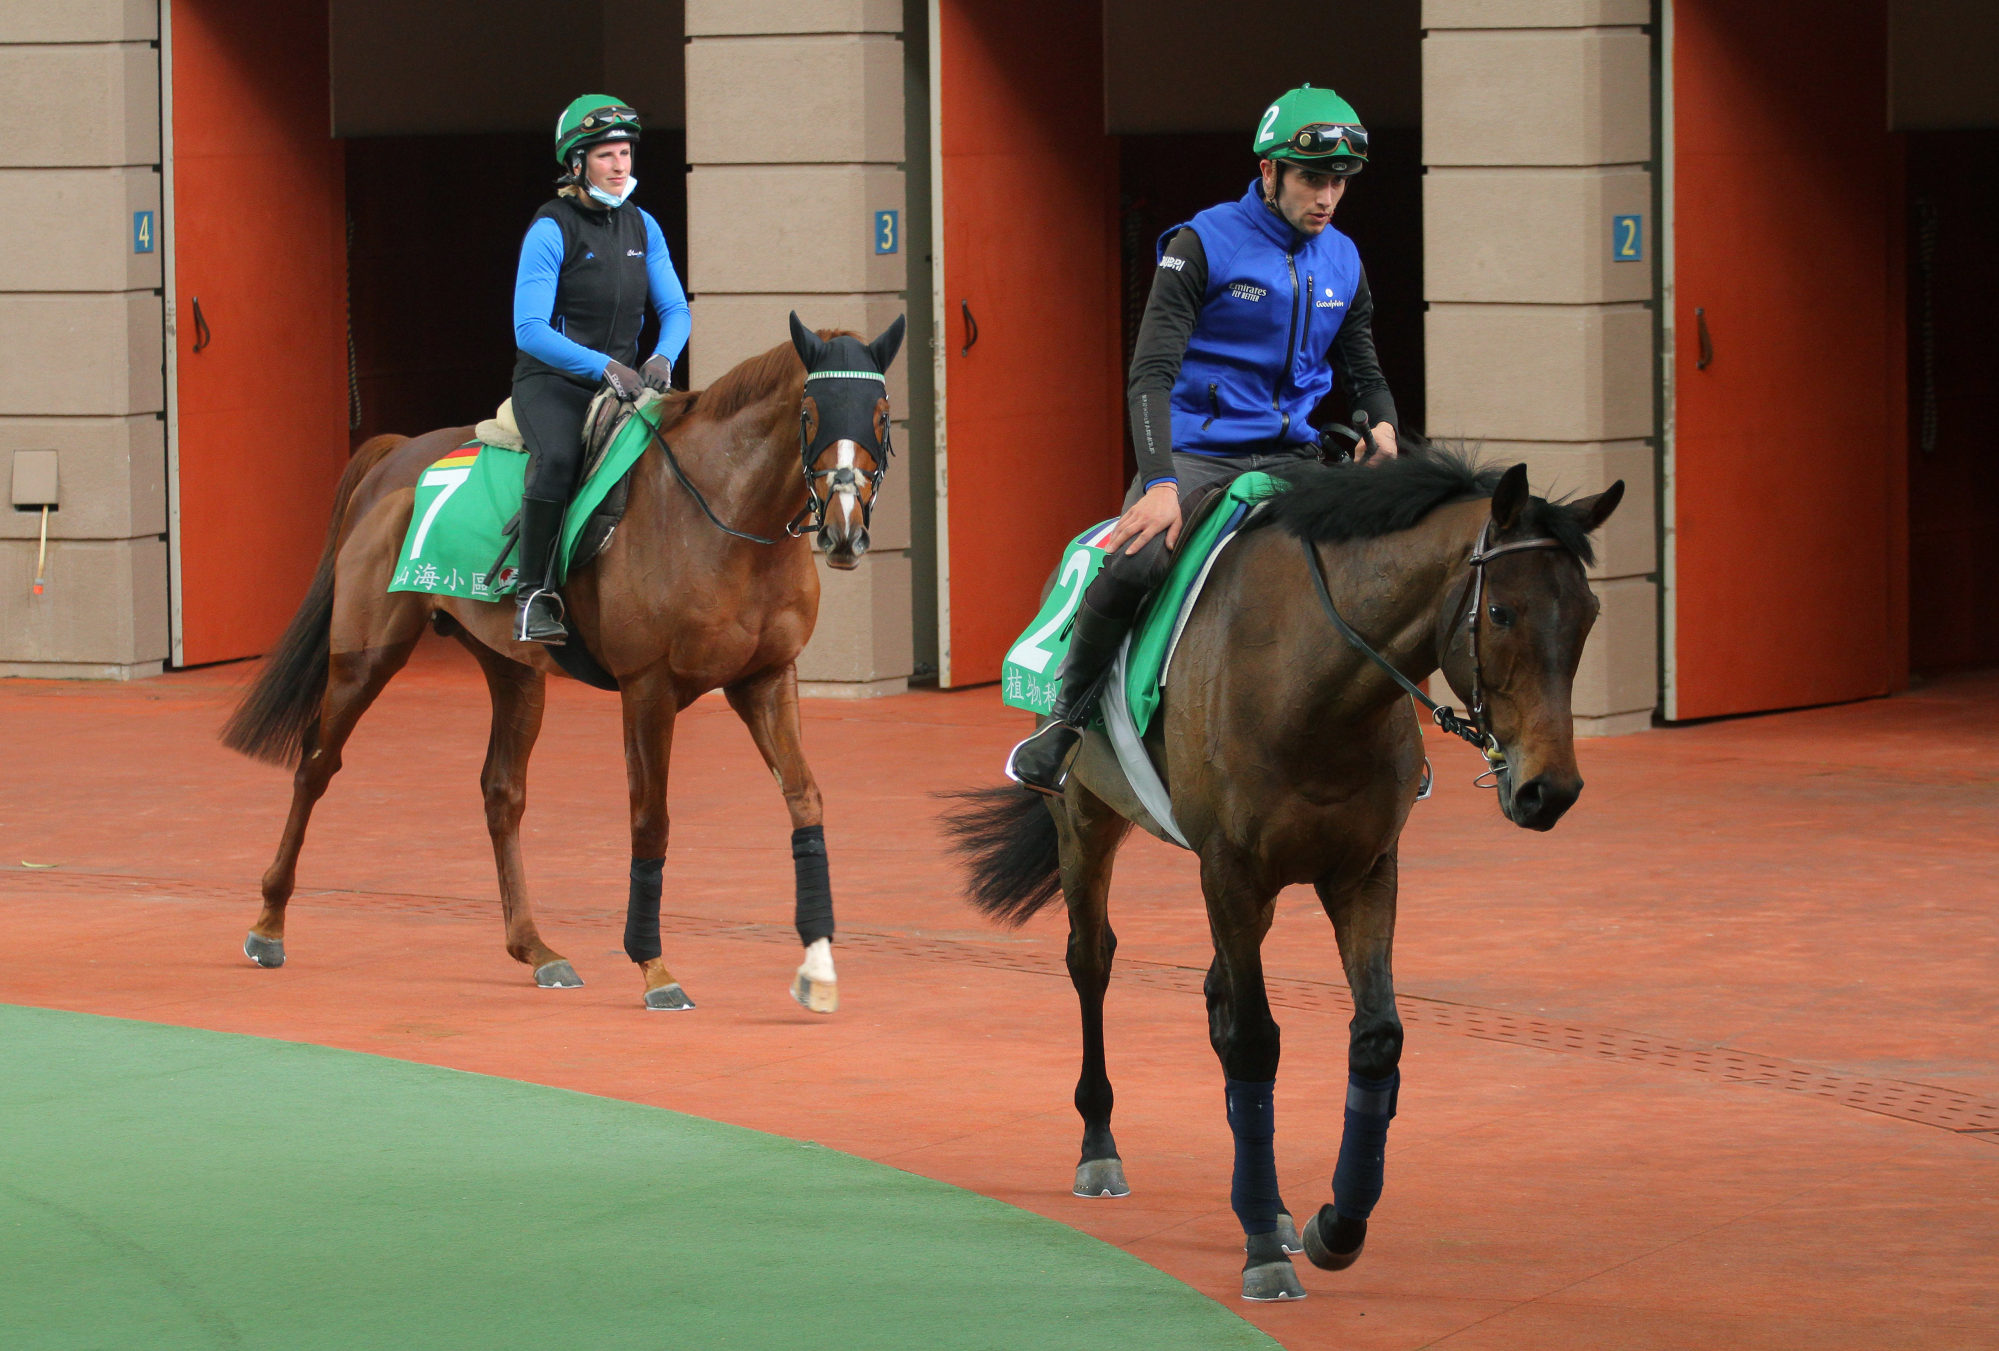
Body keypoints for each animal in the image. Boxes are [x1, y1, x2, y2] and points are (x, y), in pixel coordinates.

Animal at [222, 315, 903, 1015]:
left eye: (881, 414)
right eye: (811, 411)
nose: (845, 530)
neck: (725, 517)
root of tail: (397, 454)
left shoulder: (765, 678)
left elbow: (805, 802)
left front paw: (818, 967)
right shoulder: (648, 687)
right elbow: (650, 822)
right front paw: (654, 966)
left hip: (513, 668)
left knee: (502, 793)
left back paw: (535, 948)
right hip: (366, 653)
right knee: (315, 764)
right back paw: (268, 923)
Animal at [943, 451, 1615, 1295]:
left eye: (1587, 615)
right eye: (1500, 613)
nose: (1547, 790)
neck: (1311, 686)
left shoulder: (1363, 870)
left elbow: (1375, 1038)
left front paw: (1334, 1223)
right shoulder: (1228, 869)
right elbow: (1255, 1043)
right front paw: (1262, 1245)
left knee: (1215, 993)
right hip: (1086, 817)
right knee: (1091, 960)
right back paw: (1100, 1146)